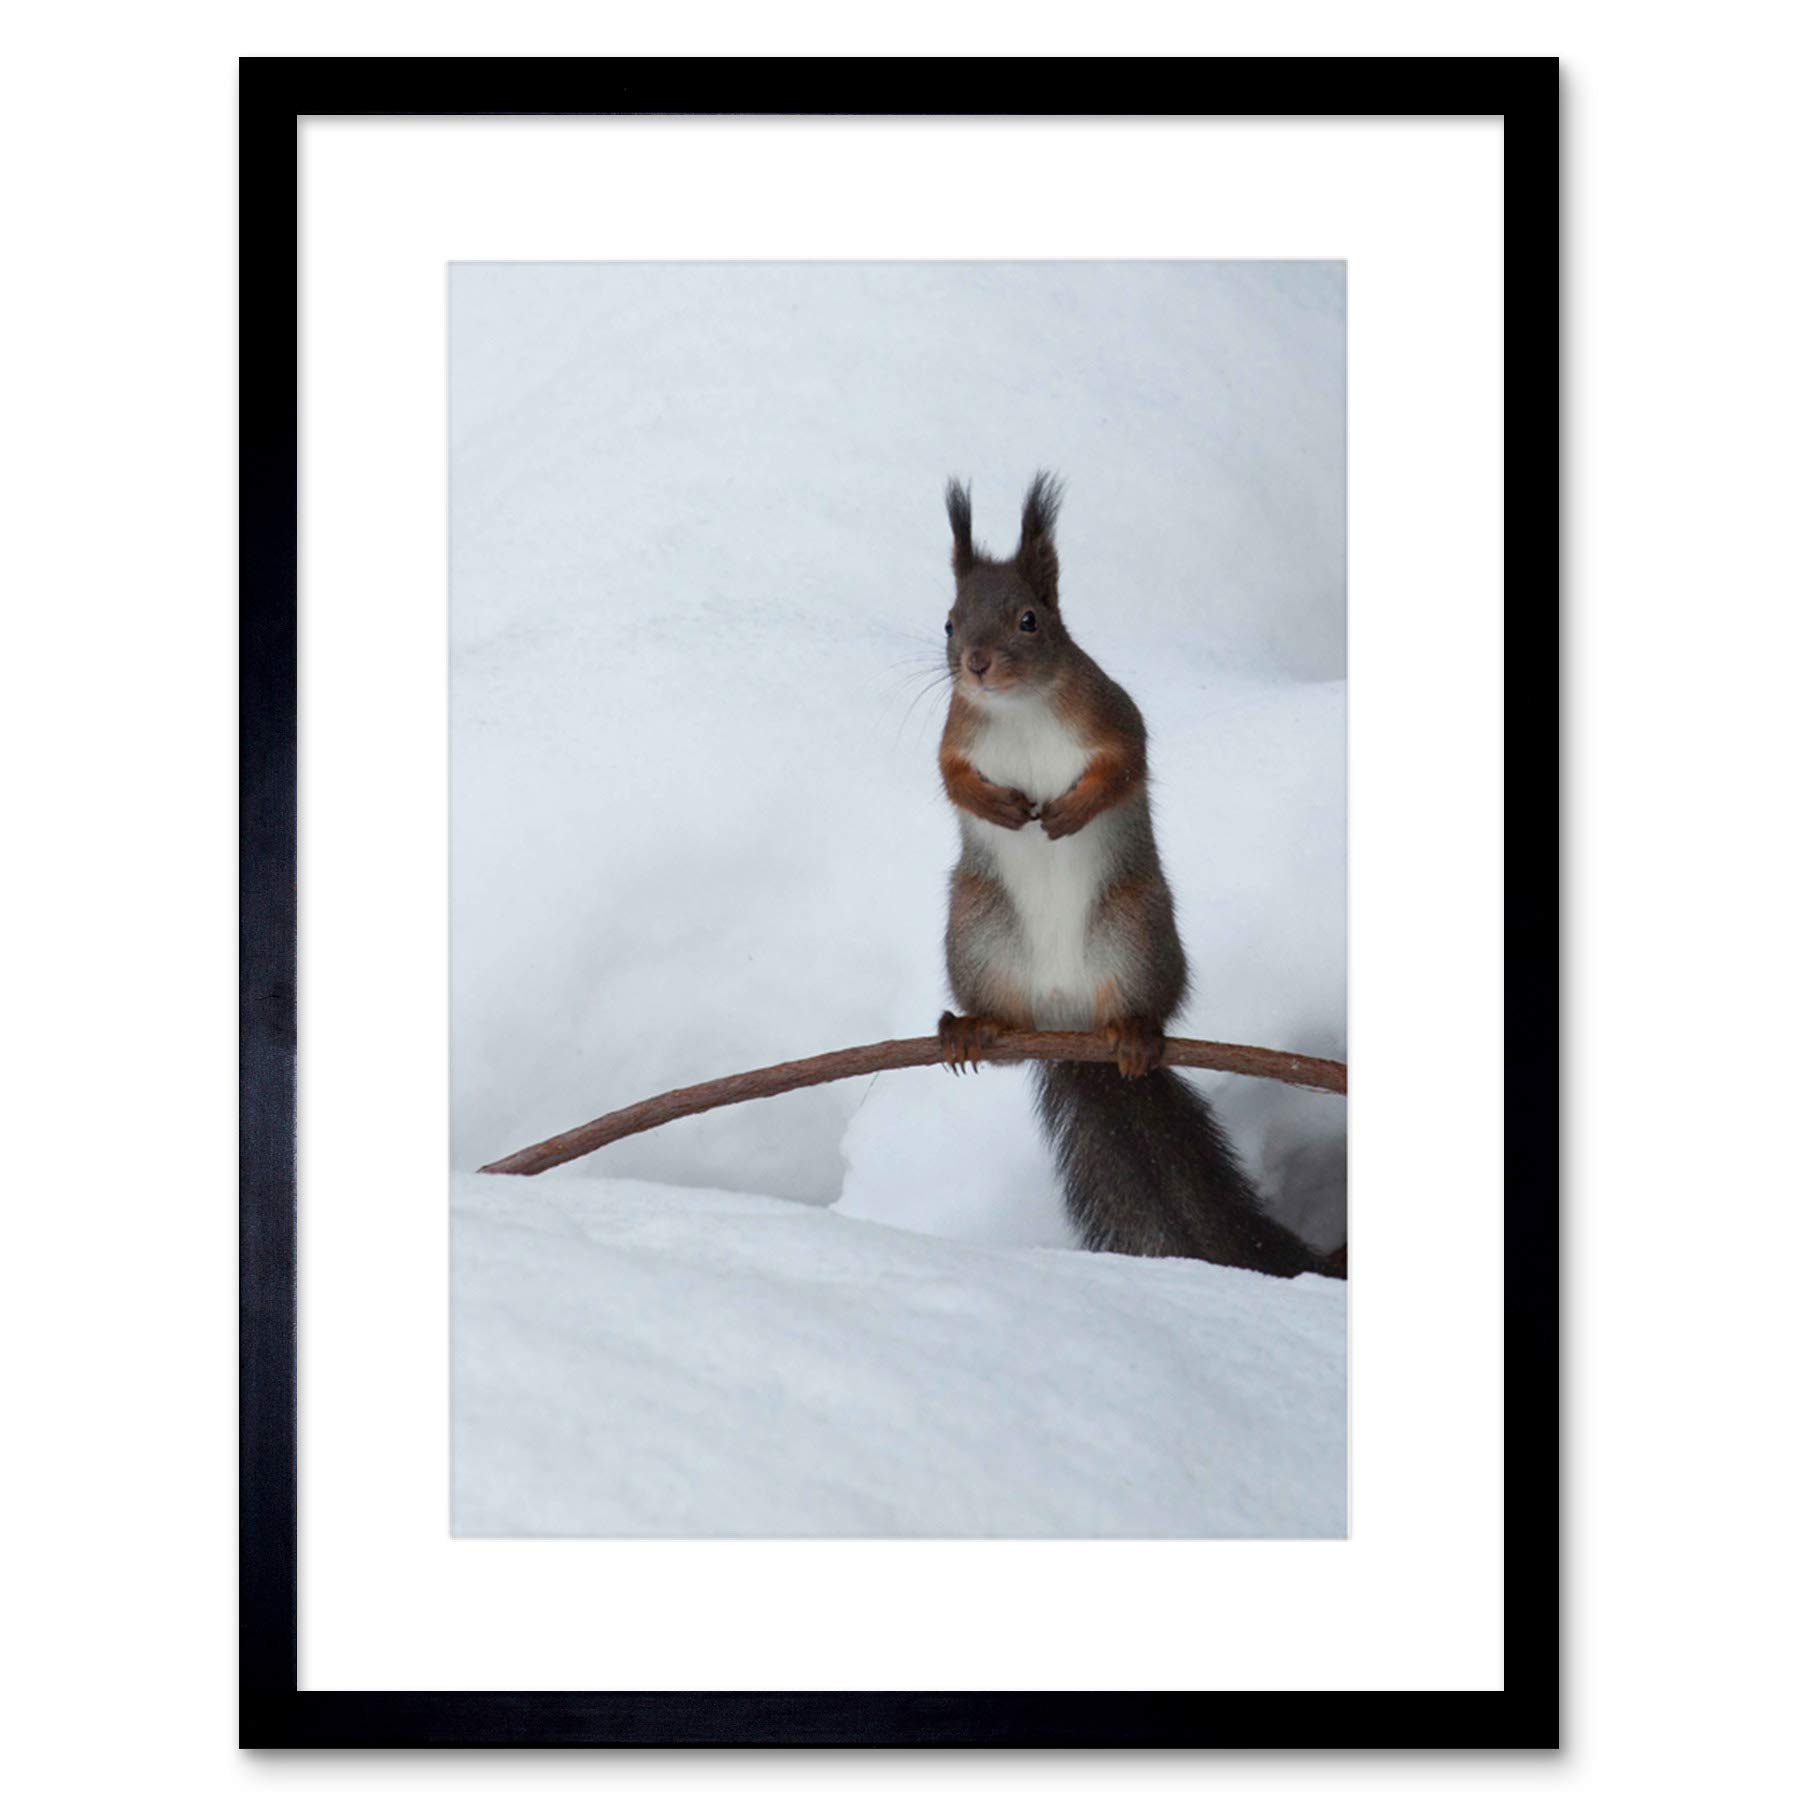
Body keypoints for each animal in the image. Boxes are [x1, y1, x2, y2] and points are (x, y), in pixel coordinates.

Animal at [935, 473, 1343, 1279]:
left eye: (1030, 620)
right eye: (948, 623)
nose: (977, 665)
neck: (1019, 709)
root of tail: (1067, 1023)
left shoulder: (1111, 714)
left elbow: (1126, 762)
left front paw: (1069, 813)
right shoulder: (954, 732)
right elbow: (950, 777)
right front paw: (997, 806)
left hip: (1136, 930)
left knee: (1144, 1004)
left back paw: (1133, 1034)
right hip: (976, 934)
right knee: (1000, 1023)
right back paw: (973, 1028)